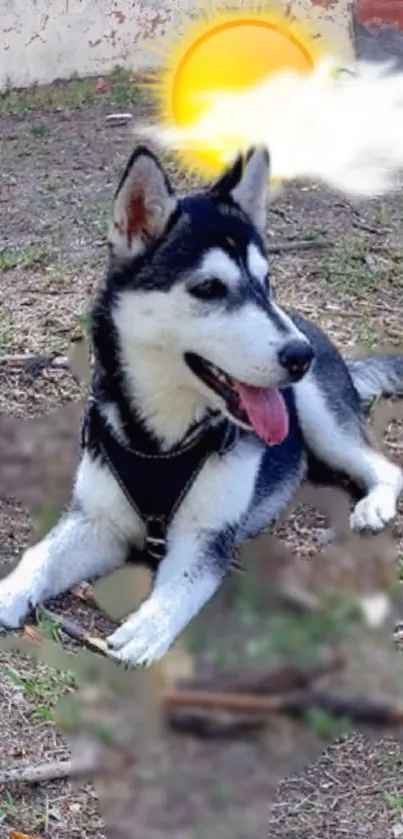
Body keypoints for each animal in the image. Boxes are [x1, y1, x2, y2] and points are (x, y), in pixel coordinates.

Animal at [0, 148, 403, 668]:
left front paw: (148, 626)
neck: (161, 441)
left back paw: (374, 505)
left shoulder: (206, 537)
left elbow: (183, 587)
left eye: (266, 282)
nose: (300, 356)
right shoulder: (98, 521)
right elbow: (40, 556)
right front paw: (9, 591)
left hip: (320, 418)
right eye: (210, 288)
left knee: (383, 466)